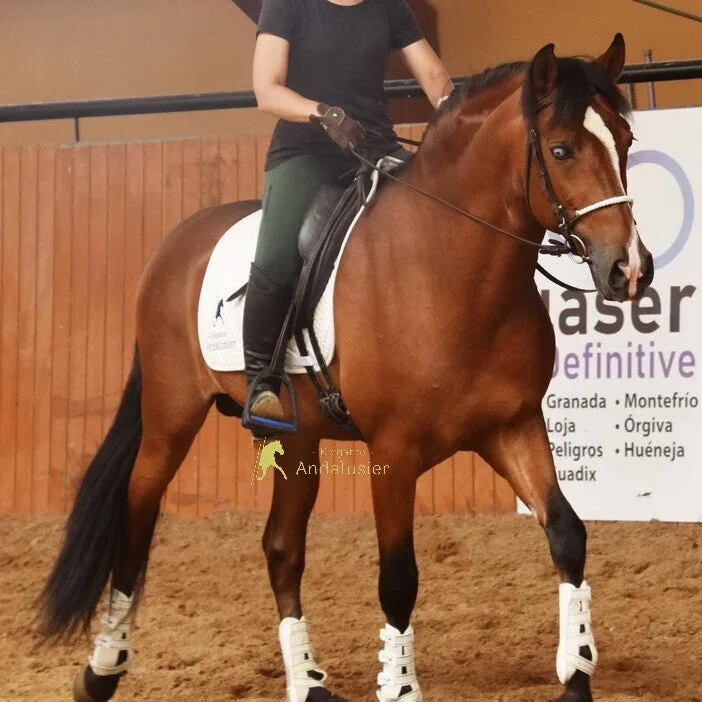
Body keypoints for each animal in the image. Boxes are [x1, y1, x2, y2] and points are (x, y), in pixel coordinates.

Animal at [39, 34, 653, 702]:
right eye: (561, 149)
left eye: (625, 140)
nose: (629, 269)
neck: (448, 267)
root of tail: (173, 246)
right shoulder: (394, 451)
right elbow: (399, 577)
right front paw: (400, 686)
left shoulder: (511, 427)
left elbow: (567, 533)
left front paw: (576, 672)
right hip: (170, 418)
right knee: (136, 516)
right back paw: (103, 666)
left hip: (297, 437)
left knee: (281, 548)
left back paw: (306, 680)